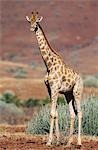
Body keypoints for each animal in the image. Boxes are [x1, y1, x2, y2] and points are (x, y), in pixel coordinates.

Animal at [25, 12, 83, 146]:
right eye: (30, 21)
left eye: (37, 22)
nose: (32, 28)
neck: (48, 65)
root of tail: (81, 79)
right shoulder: (50, 89)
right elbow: (55, 114)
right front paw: (57, 141)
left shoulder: (55, 88)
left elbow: (52, 114)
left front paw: (49, 141)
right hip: (68, 94)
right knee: (73, 114)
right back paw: (68, 143)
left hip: (77, 92)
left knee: (80, 113)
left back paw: (78, 142)